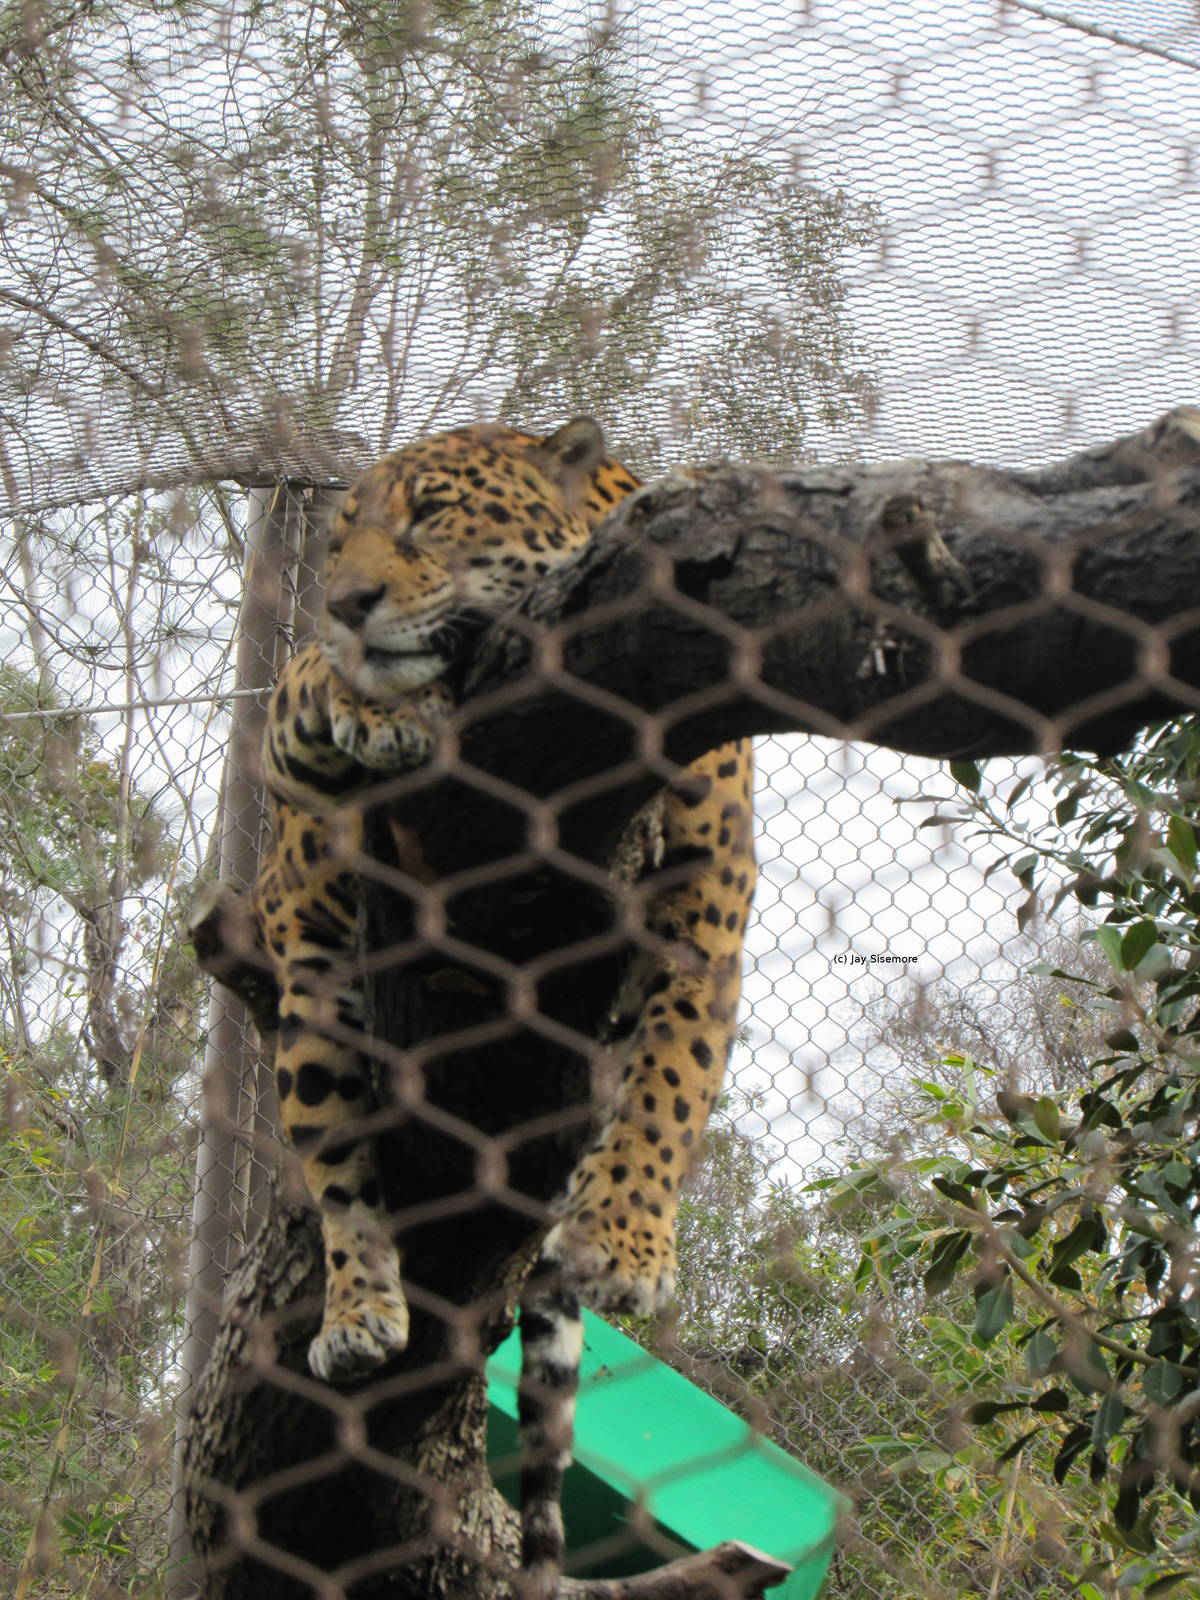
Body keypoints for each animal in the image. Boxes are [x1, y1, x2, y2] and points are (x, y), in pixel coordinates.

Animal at [248, 419, 756, 1589]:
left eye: (431, 514)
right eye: (338, 539)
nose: (347, 599)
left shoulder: (711, 911)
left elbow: (675, 1082)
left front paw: (624, 1242)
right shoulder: (295, 740)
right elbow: (318, 689)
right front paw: (376, 699)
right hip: (309, 1007)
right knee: (338, 1171)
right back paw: (359, 1313)